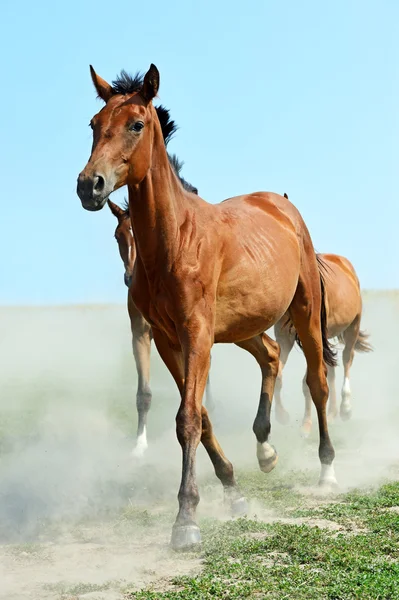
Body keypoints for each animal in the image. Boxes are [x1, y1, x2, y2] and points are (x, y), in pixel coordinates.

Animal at [77, 63, 338, 552]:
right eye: (93, 124)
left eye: (136, 124)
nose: (90, 185)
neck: (176, 241)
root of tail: (281, 203)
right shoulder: (167, 339)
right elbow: (200, 414)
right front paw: (234, 492)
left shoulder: (195, 333)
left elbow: (187, 419)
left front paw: (185, 520)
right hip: (241, 329)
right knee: (270, 356)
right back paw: (265, 450)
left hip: (306, 313)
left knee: (317, 382)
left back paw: (328, 470)